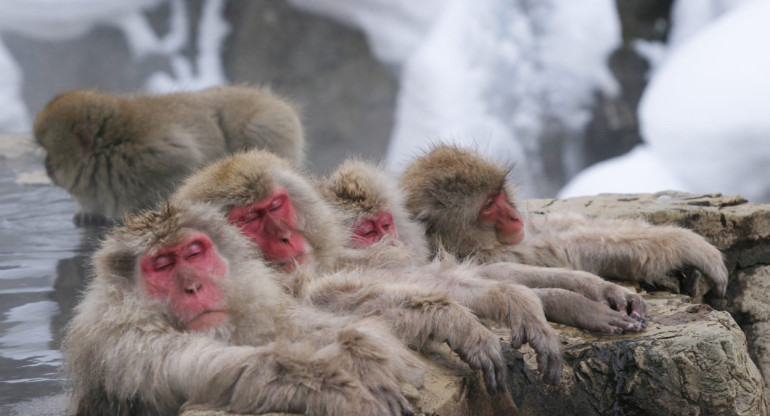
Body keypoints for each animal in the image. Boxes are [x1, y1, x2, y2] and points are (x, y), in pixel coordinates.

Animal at [33, 85, 304, 226]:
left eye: (49, 153)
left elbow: (184, 164)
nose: (46, 167)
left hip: (269, 125)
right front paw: (89, 213)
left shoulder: (157, 156)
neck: (112, 147)